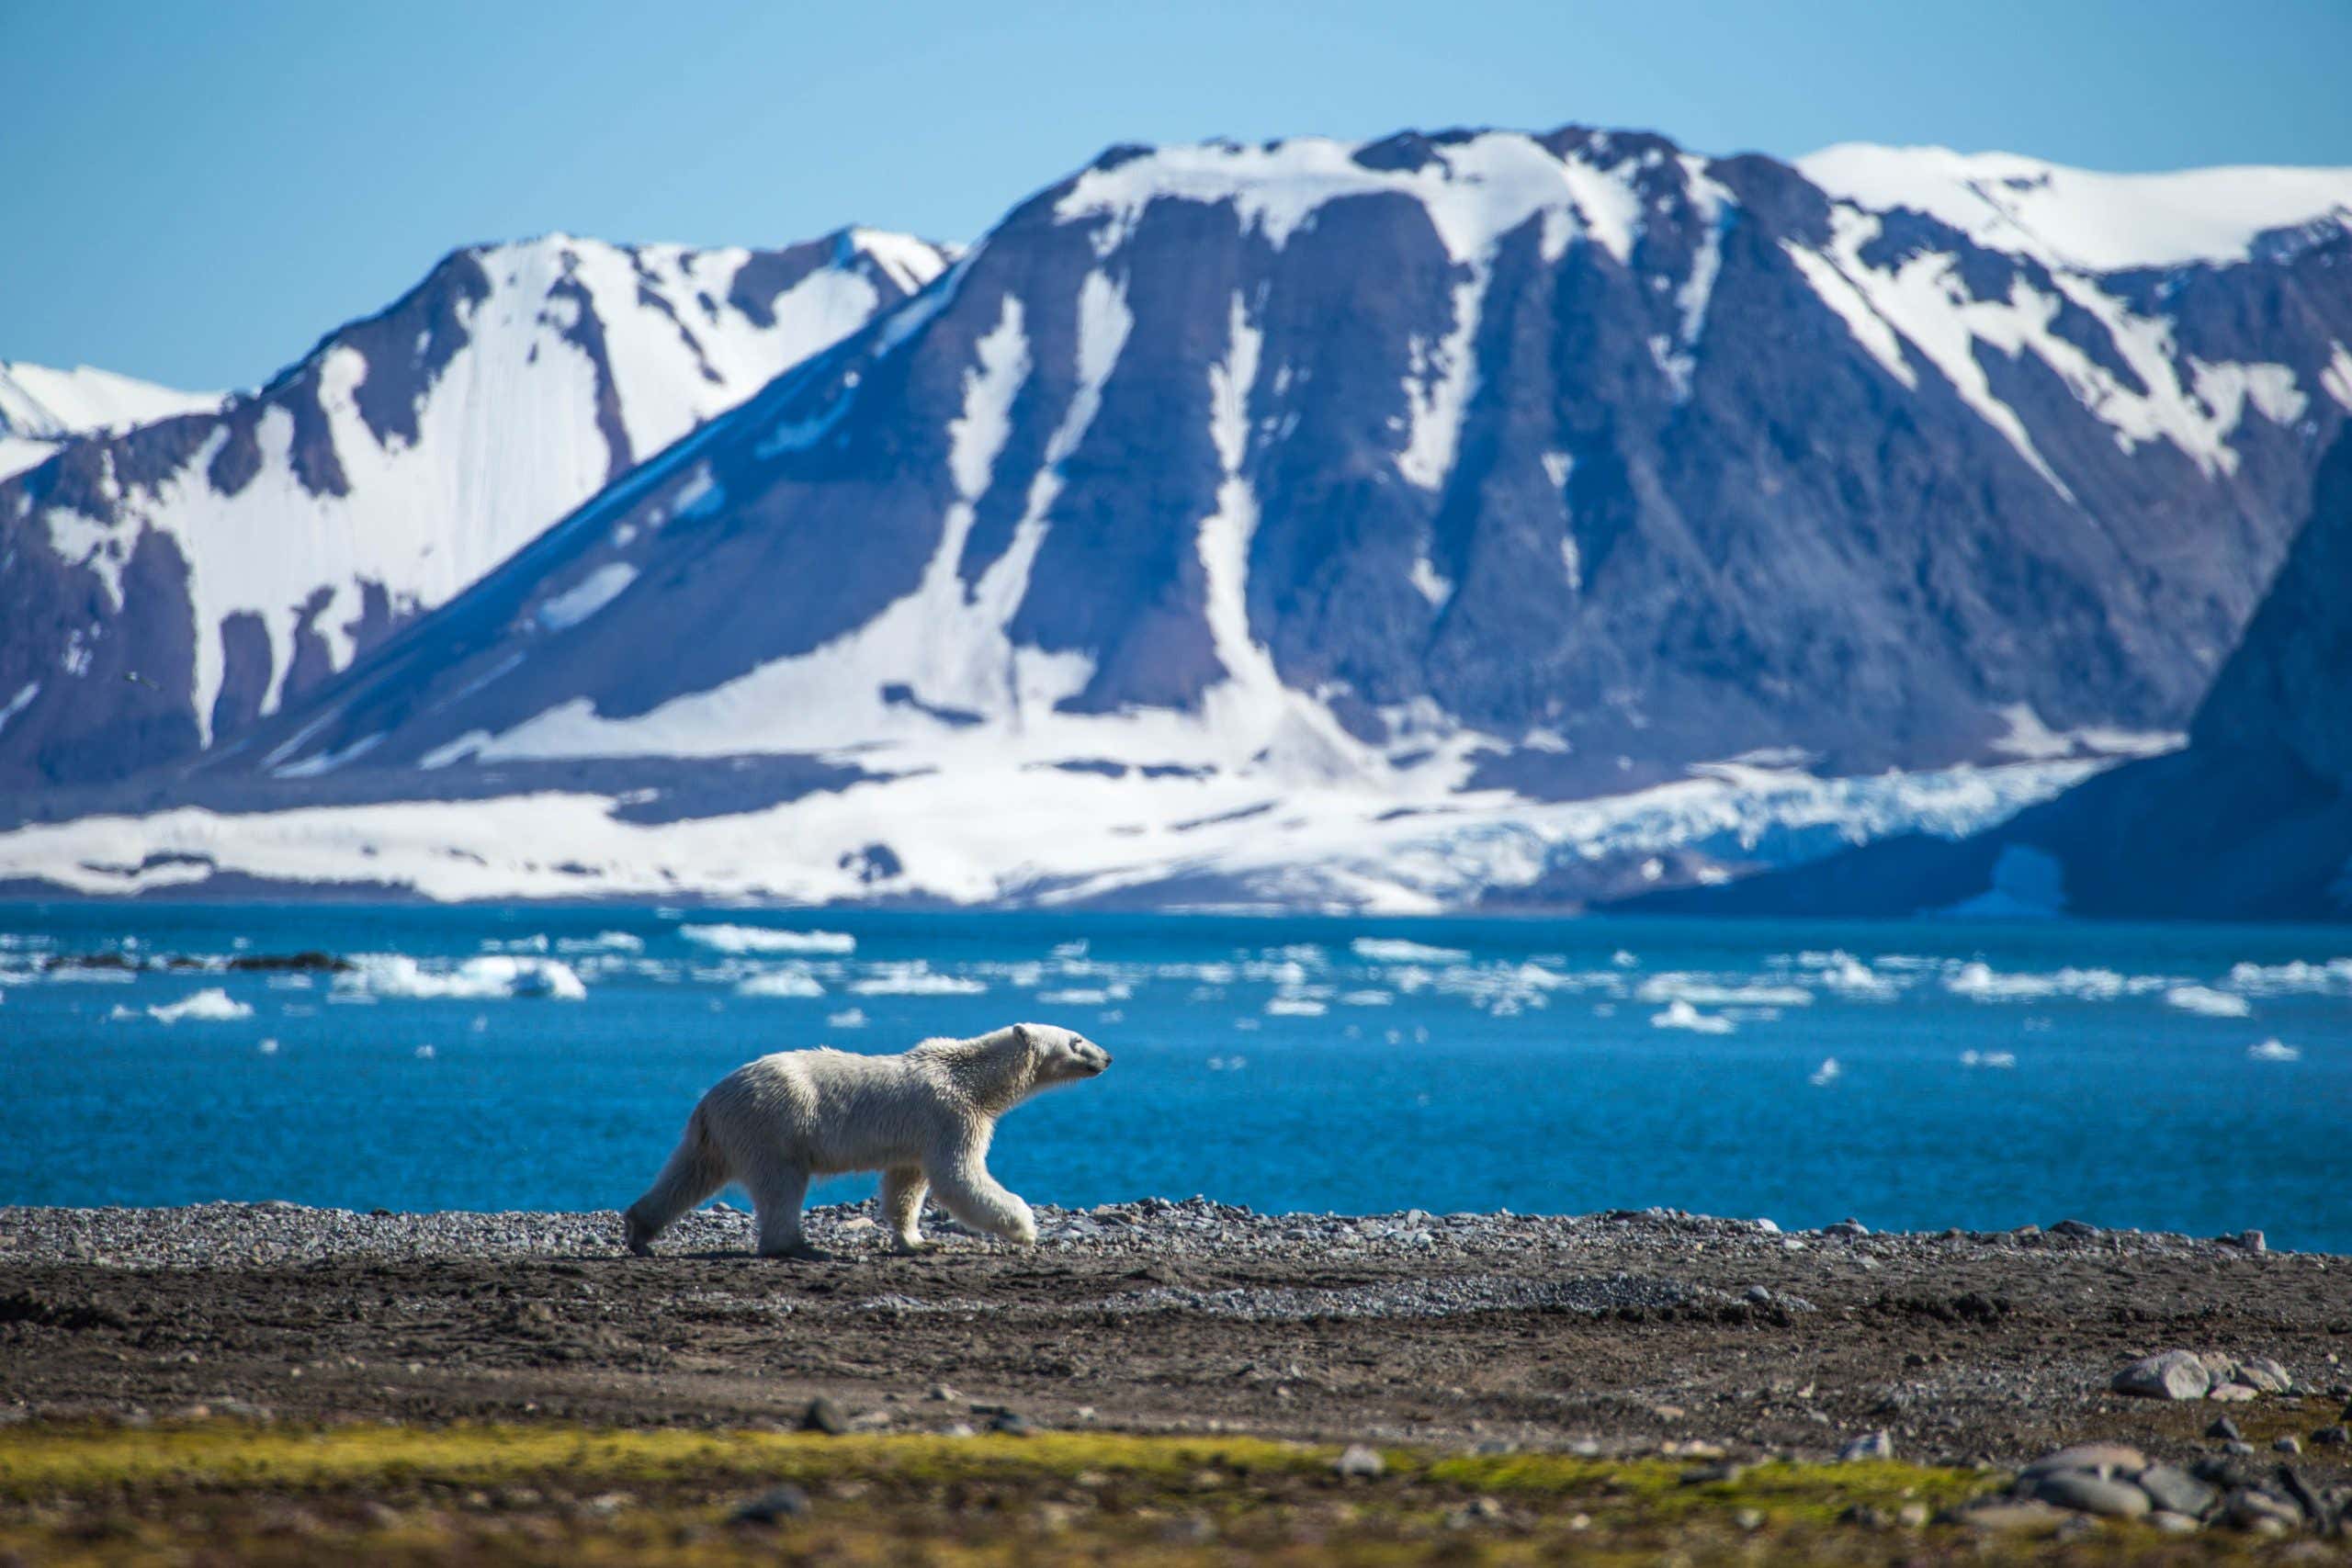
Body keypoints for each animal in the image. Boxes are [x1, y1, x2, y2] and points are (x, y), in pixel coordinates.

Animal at [620, 1020, 1105, 1259]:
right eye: (1077, 1039)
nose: (1107, 1057)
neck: (972, 1079)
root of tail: (711, 1097)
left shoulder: (917, 1136)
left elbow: (906, 1185)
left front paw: (917, 1241)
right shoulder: (951, 1115)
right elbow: (960, 1177)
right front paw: (1025, 1228)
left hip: (720, 1134)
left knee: (689, 1174)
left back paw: (640, 1230)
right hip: (774, 1124)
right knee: (780, 1185)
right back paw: (798, 1246)